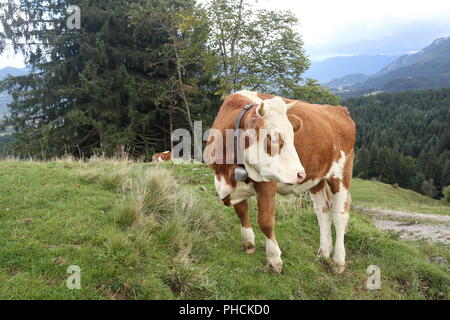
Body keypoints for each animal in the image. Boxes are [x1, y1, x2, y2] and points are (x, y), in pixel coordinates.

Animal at [206, 90, 356, 272]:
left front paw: (274, 259)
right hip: (317, 179)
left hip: (341, 173)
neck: (227, 172)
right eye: (272, 137)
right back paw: (323, 252)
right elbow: (241, 212)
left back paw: (339, 261)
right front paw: (248, 243)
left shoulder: (267, 184)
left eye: (292, 135)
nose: (300, 173)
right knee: (322, 211)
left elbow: (266, 221)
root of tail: (339, 110)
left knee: (339, 215)